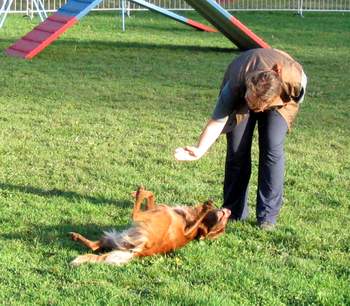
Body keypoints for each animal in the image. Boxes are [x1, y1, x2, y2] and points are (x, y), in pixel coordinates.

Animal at [69, 186, 231, 266]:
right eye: (223, 221)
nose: (228, 211)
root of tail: (141, 251)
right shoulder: (156, 209)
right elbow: (152, 195)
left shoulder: (181, 225)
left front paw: (206, 208)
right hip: (116, 239)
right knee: (94, 247)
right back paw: (75, 237)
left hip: (158, 217)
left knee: (135, 214)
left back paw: (139, 194)